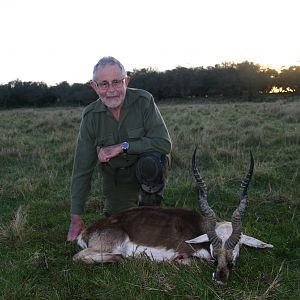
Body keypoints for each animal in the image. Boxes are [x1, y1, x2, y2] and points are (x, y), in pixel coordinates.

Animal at [74, 149, 274, 284]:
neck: (199, 227)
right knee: (79, 257)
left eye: (235, 250)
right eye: (215, 252)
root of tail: (86, 232)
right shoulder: (187, 254)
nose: (220, 278)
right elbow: (192, 262)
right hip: (113, 245)